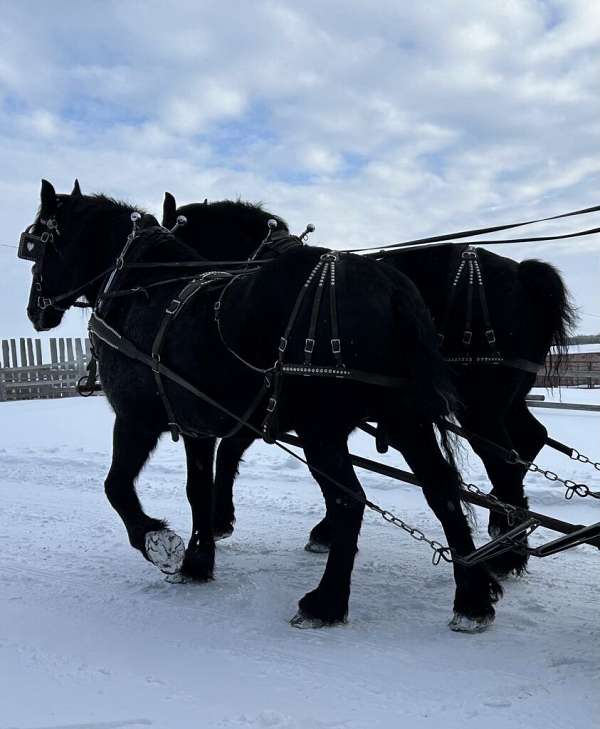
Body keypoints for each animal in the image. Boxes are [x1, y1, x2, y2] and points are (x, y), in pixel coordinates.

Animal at [162, 192, 576, 576]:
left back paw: (507, 554)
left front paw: (219, 519)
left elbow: (231, 450)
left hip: (481, 407)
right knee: (530, 440)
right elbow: (238, 449)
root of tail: (523, 275)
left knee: (505, 462)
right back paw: (504, 531)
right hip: (506, 400)